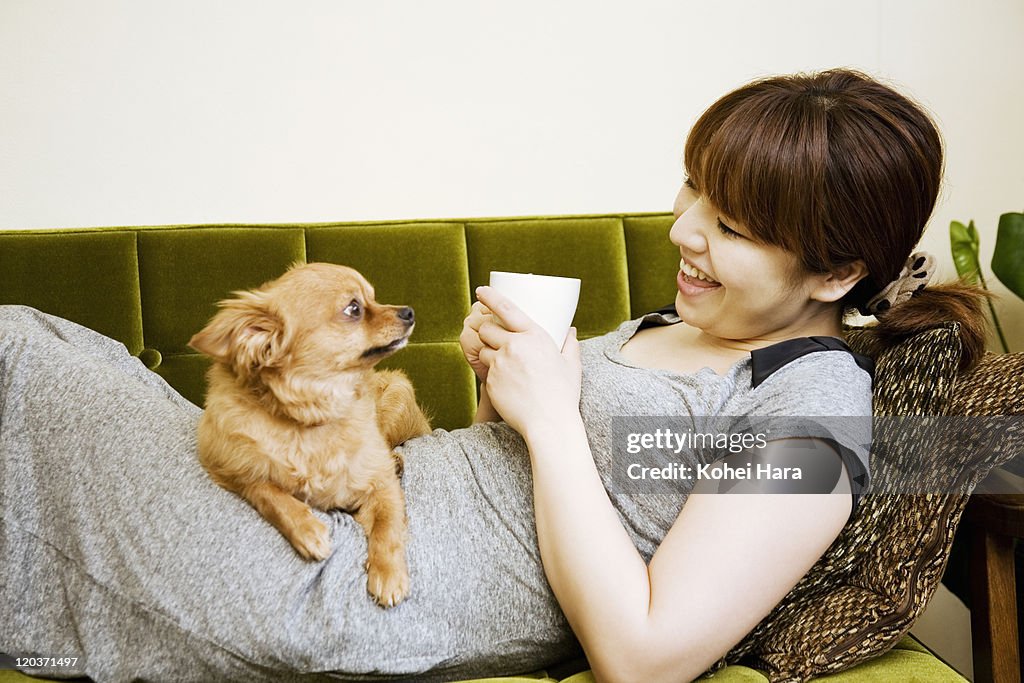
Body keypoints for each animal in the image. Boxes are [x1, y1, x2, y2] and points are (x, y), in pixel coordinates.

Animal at [189, 262, 432, 610]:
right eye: (354, 309)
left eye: (373, 298)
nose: (408, 311)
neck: (310, 417)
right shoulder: (226, 464)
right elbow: (267, 491)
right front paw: (307, 530)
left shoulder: (381, 485)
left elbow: (388, 525)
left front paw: (389, 574)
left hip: (397, 394)